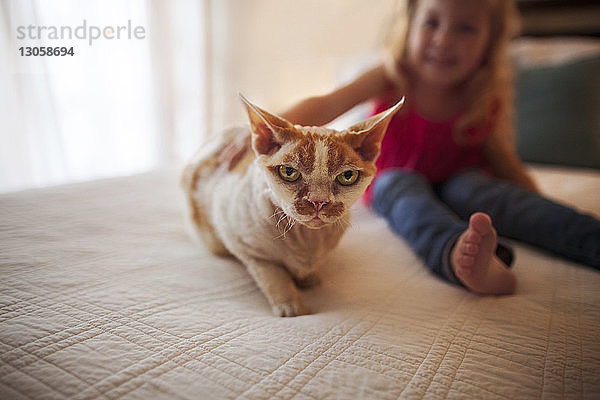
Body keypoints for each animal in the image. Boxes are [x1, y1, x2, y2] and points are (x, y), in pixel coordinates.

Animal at [182, 94, 404, 316]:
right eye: (289, 172)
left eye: (347, 176)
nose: (318, 201)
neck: (306, 239)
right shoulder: (243, 242)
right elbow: (273, 274)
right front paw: (291, 306)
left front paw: (308, 278)